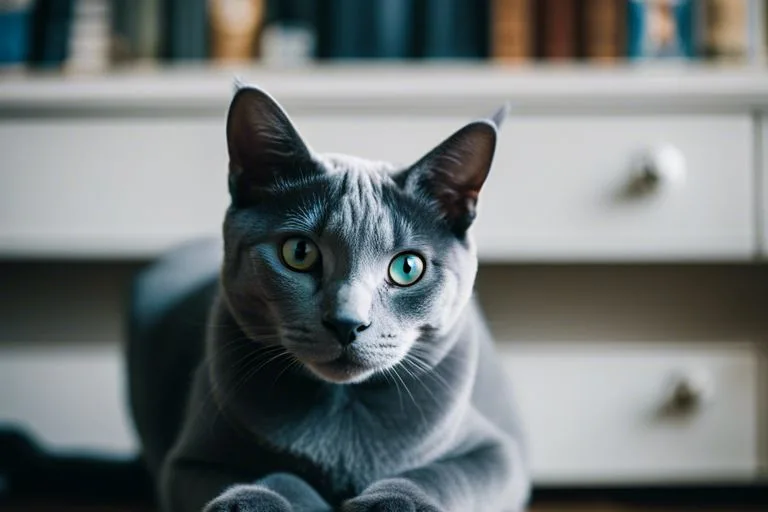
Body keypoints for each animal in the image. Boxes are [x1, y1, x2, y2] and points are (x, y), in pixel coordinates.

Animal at [129, 86, 532, 510]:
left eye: (408, 268)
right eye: (299, 252)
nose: (346, 322)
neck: (342, 410)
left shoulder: (497, 455)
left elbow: (437, 475)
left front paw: (391, 502)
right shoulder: (189, 463)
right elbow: (278, 475)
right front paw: (253, 501)